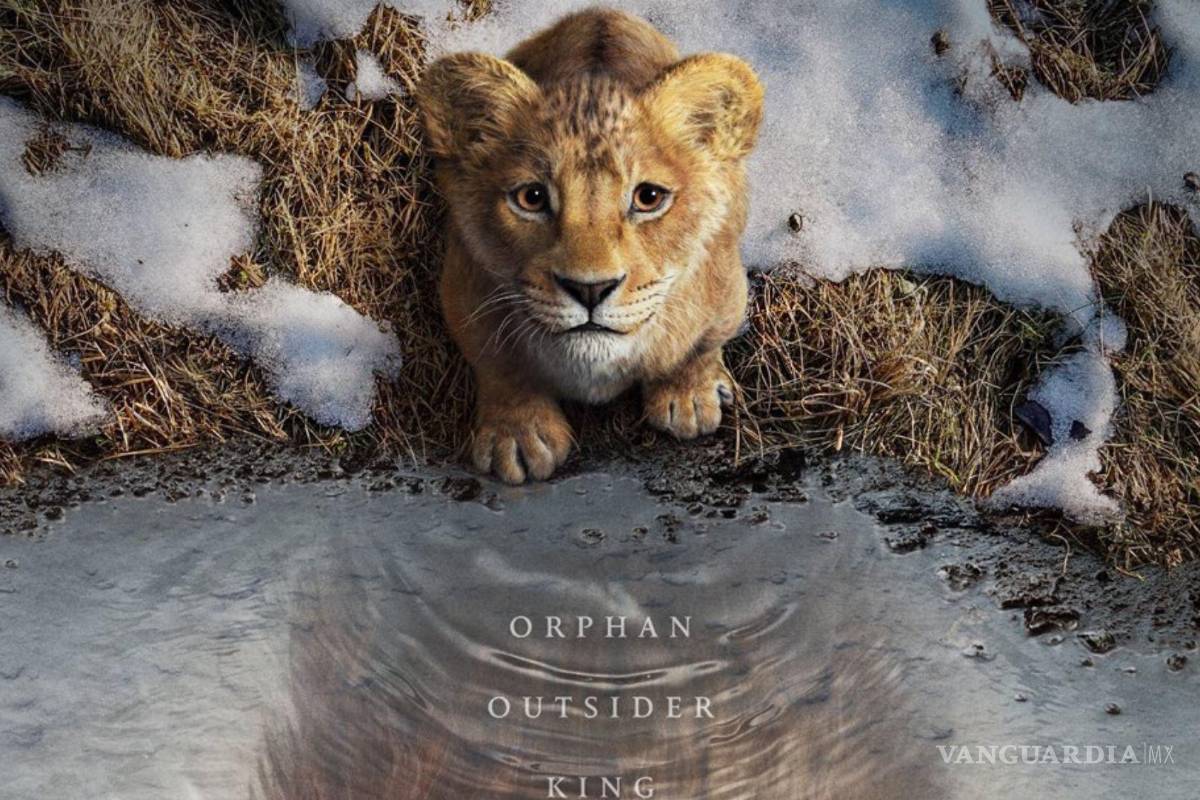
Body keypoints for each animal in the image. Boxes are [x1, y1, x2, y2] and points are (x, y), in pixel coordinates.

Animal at [417, 7, 764, 483]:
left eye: (648, 197)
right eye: (532, 198)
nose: (590, 289)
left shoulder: (726, 289)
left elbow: (700, 345)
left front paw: (689, 396)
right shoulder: (463, 289)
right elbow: (499, 365)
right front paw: (518, 436)